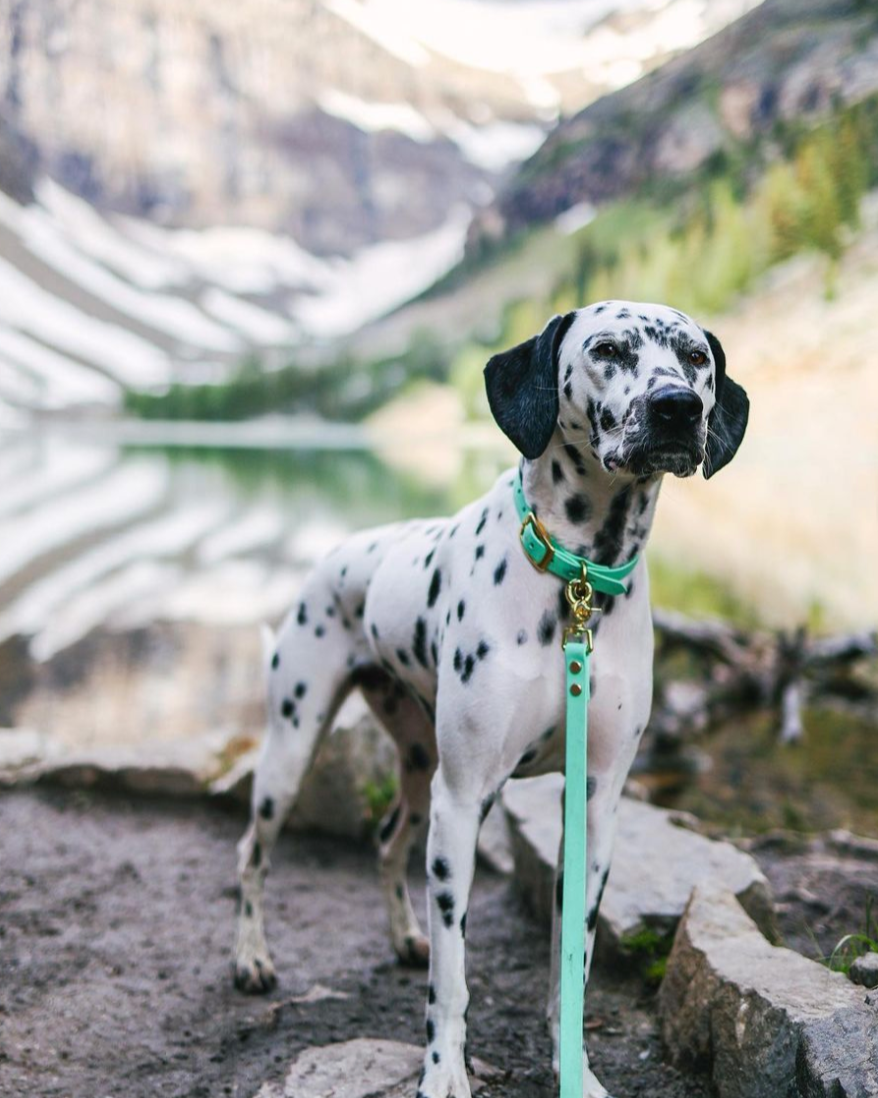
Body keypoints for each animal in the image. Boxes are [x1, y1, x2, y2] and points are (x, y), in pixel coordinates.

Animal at [232, 300, 746, 1098]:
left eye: (696, 358)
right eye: (607, 348)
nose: (677, 407)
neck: (577, 581)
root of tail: (338, 553)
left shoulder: (594, 807)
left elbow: (573, 962)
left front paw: (574, 1068)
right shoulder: (464, 797)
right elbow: (453, 979)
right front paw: (444, 1072)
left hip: (419, 769)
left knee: (387, 841)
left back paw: (403, 935)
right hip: (296, 753)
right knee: (251, 852)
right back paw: (251, 958)